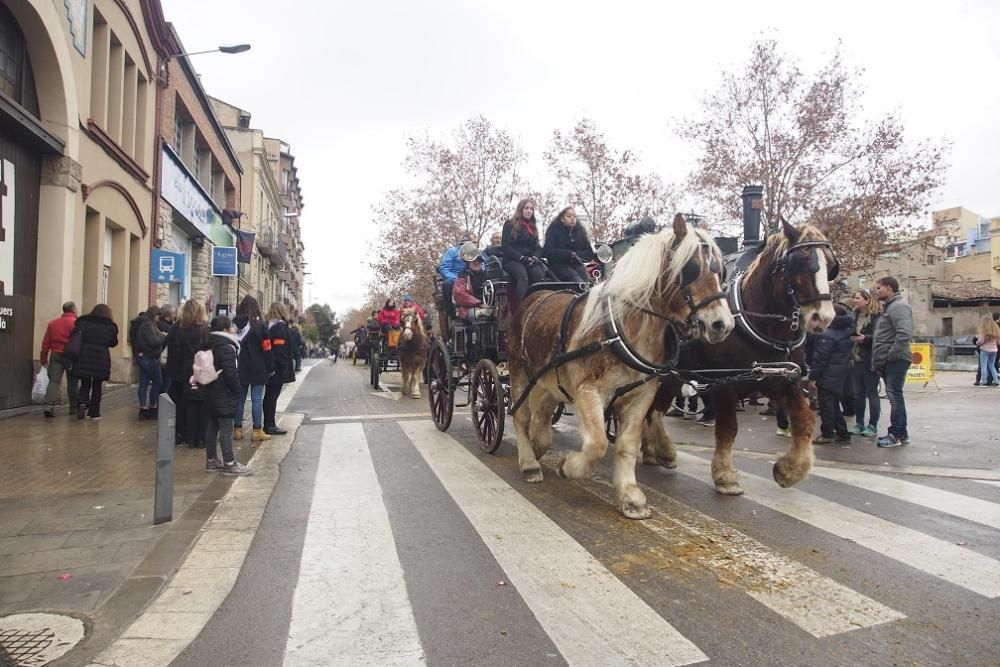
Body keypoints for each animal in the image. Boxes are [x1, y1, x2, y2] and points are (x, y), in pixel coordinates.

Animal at [508, 217, 736, 520]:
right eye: (690, 268)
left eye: (720, 270)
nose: (723, 325)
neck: (620, 330)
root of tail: (536, 297)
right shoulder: (587, 391)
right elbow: (597, 443)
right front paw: (569, 467)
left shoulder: (641, 396)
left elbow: (627, 444)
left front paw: (630, 495)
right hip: (519, 372)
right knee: (521, 417)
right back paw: (529, 461)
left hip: (547, 381)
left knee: (542, 416)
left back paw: (538, 446)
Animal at [640, 220, 836, 496]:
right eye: (799, 262)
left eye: (831, 265)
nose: (824, 317)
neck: (763, 326)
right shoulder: (726, 384)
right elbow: (728, 429)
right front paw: (725, 476)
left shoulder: (786, 380)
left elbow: (805, 421)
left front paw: (789, 470)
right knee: (653, 410)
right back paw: (662, 450)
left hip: (671, 377)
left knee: (654, 409)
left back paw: (653, 450)